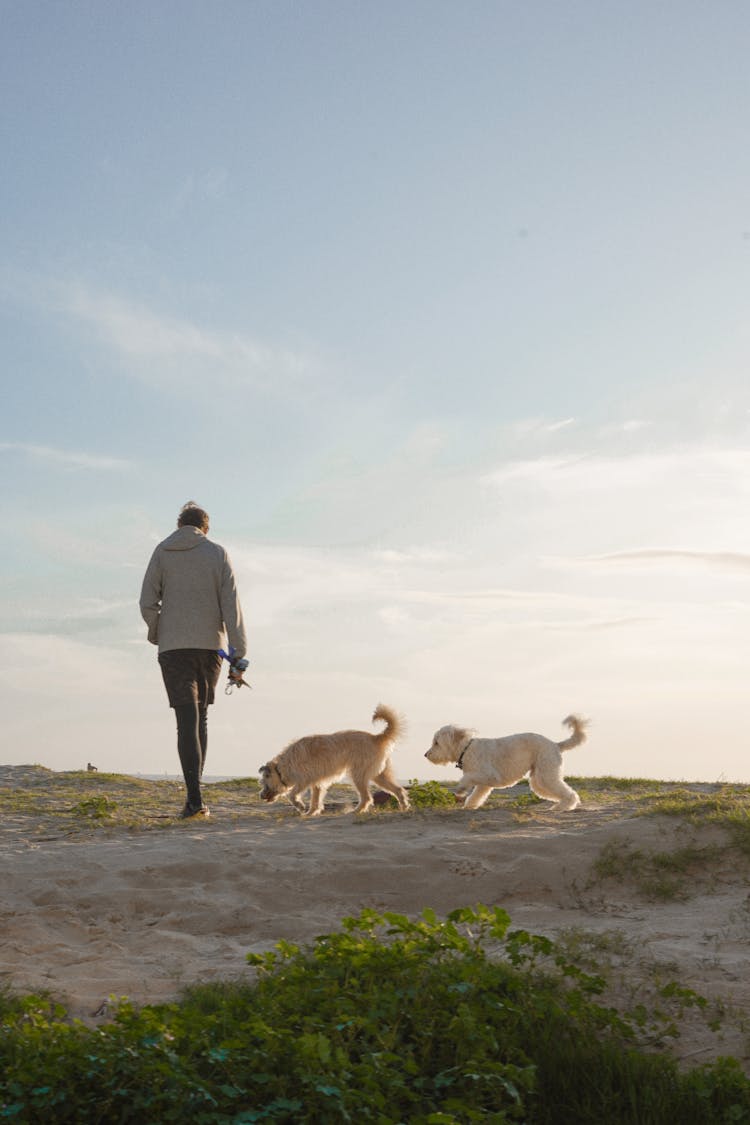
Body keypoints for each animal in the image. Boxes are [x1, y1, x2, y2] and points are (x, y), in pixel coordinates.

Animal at [258, 702, 411, 819]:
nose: (260, 796)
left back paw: (356, 811)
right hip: (379, 775)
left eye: (264, 782)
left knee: (367, 797)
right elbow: (315, 800)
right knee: (398, 790)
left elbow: (291, 795)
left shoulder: (303, 780)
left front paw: (300, 806)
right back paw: (404, 808)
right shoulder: (316, 783)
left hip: (358, 775)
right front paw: (311, 813)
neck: (281, 768)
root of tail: (376, 737)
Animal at [425, 715, 589, 814]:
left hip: (546, 775)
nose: (426, 755)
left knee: (570, 793)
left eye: (436, 743)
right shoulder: (484, 784)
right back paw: (560, 806)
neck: (466, 749)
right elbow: (476, 796)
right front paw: (469, 806)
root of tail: (555, 744)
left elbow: (467, 779)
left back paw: (563, 806)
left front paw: (460, 789)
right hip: (539, 779)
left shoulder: (488, 775)